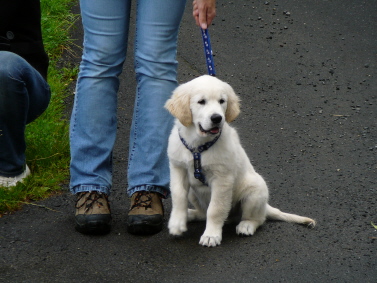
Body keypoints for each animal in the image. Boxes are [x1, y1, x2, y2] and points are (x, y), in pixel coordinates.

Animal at [164, 76, 314, 248]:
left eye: (222, 101)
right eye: (201, 101)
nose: (217, 118)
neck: (198, 147)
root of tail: (265, 207)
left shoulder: (222, 179)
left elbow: (215, 209)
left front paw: (211, 235)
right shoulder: (178, 168)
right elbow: (178, 195)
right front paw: (177, 222)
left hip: (254, 191)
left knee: (257, 218)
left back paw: (246, 225)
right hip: (194, 193)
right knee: (203, 213)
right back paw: (191, 214)